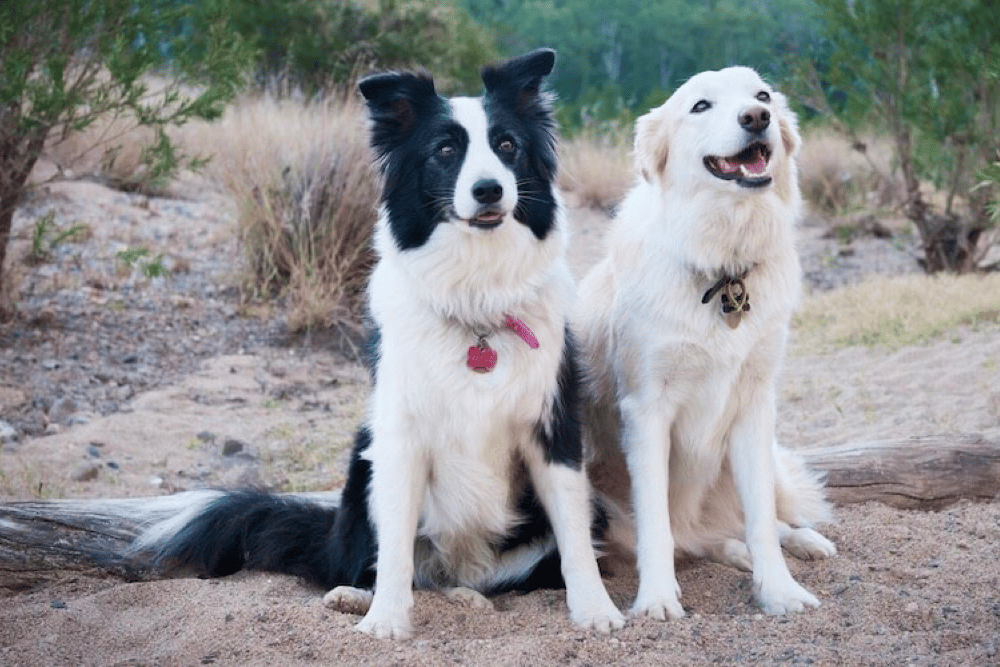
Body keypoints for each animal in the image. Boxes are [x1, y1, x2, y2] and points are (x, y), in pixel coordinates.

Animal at [580, 65, 836, 620]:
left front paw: (780, 592)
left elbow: (761, 521)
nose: (757, 117)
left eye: (762, 96)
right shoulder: (647, 411)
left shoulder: (754, 408)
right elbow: (656, 524)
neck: (723, 264)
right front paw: (657, 599)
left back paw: (805, 541)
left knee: (758, 523)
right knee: (697, 541)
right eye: (700, 106)